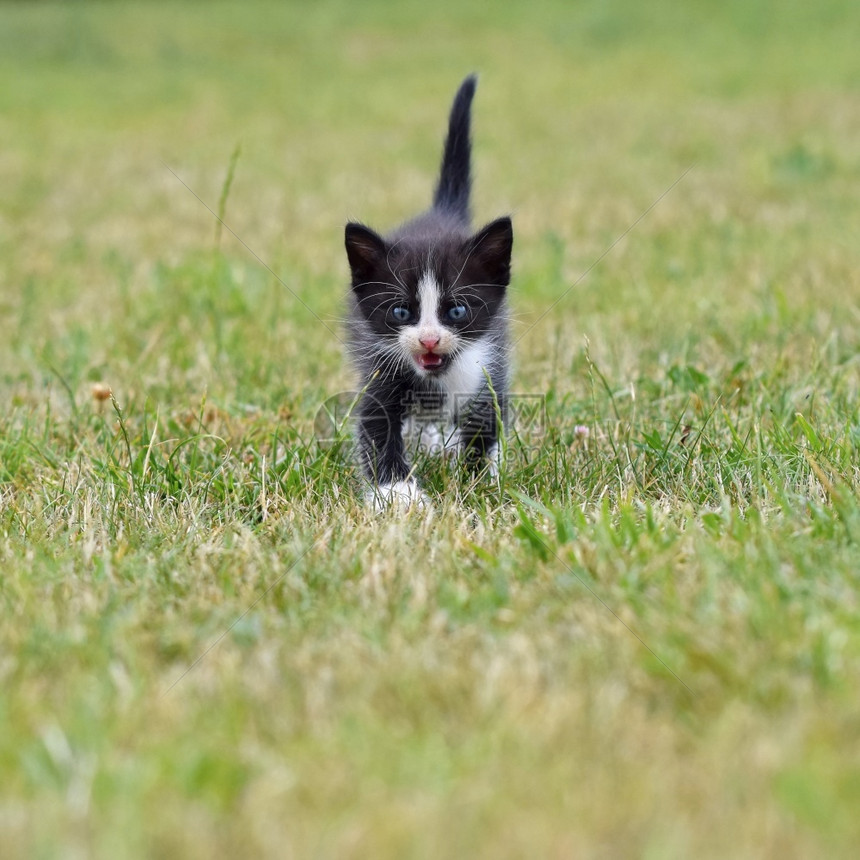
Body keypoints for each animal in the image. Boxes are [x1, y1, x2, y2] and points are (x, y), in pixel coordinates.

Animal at [346, 75, 512, 510]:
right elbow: (377, 431)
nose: (429, 339)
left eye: (456, 312)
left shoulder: (487, 368)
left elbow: (485, 424)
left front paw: (479, 479)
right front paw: (399, 495)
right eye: (401, 313)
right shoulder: (380, 372)